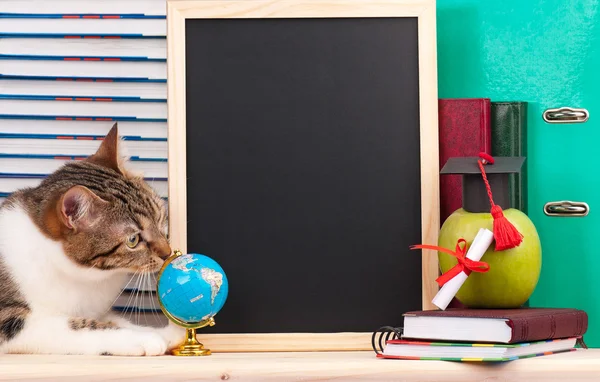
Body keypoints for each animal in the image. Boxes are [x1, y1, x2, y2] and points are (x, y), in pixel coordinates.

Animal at [0, 125, 182, 356]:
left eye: (159, 218)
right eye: (133, 240)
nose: (167, 252)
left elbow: (114, 320)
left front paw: (167, 333)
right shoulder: (13, 323)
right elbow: (76, 325)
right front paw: (142, 339)